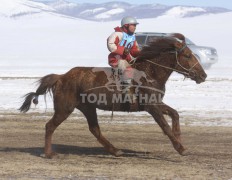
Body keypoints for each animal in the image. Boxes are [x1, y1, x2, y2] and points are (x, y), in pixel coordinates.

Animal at [18, 33, 207, 158]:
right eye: (188, 55)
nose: (203, 75)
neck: (150, 72)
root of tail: (62, 77)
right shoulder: (151, 107)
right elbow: (165, 126)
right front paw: (180, 148)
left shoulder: (157, 103)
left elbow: (175, 114)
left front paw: (179, 138)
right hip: (65, 108)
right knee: (50, 126)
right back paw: (48, 153)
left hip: (88, 108)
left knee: (94, 129)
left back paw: (115, 150)